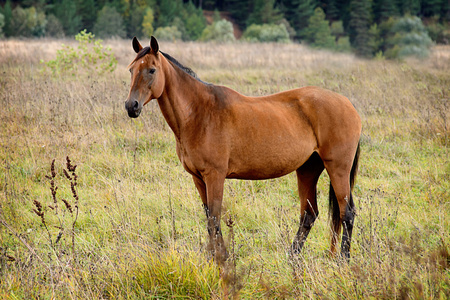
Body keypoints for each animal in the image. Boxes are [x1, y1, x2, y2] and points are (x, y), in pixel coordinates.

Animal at [124, 37, 362, 262]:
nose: (131, 106)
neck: (200, 113)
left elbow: (214, 220)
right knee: (309, 215)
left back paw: (344, 259)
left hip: (337, 168)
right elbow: (209, 218)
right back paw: (292, 258)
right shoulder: (198, 178)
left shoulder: (215, 176)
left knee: (346, 213)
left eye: (152, 70)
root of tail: (348, 104)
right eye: (131, 69)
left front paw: (222, 259)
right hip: (307, 169)